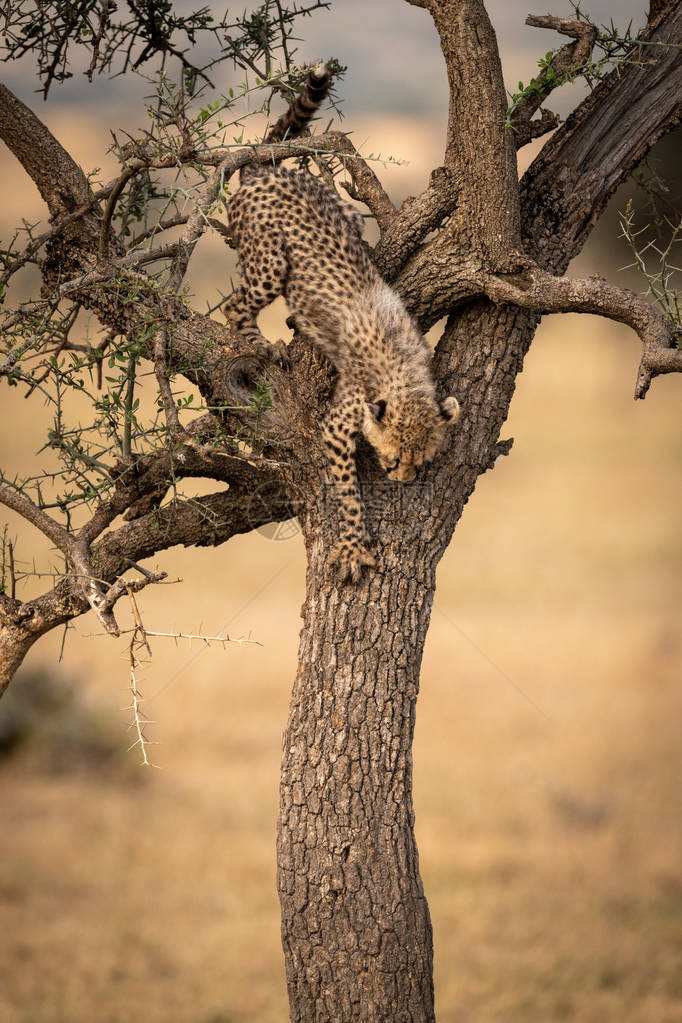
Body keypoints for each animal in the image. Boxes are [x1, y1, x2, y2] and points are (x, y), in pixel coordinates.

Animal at [226, 63, 462, 581]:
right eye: (392, 458)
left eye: (422, 460)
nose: (403, 479)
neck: (402, 372)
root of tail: (267, 169)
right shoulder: (337, 422)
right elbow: (348, 493)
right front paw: (353, 547)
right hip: (269, 260)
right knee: (235, 306)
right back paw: (260, 343)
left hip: (345, 213)